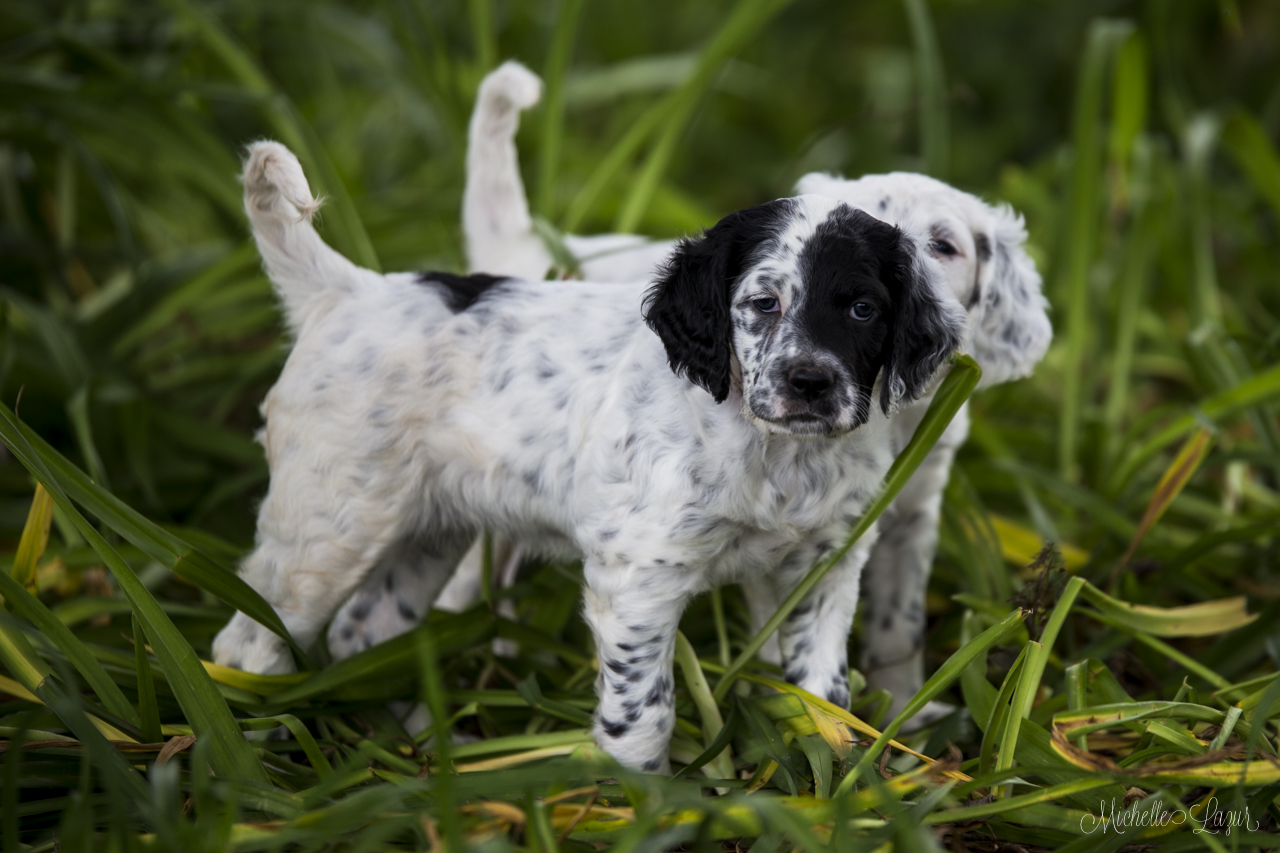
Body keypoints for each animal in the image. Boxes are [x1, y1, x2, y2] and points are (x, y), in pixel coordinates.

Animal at [215, 140, 962, 768]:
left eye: (863, 309)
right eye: (763, 303)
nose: (811, 383)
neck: (773, 451)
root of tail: (347, 291)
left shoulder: (823, 567)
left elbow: (822, 696)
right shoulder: (638, 580)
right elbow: (645, 714)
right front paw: (644, 802)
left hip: (428, 530)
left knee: (364, 633)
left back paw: (428, 749)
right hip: (328, 529)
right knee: (247, 643)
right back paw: (253, 764)